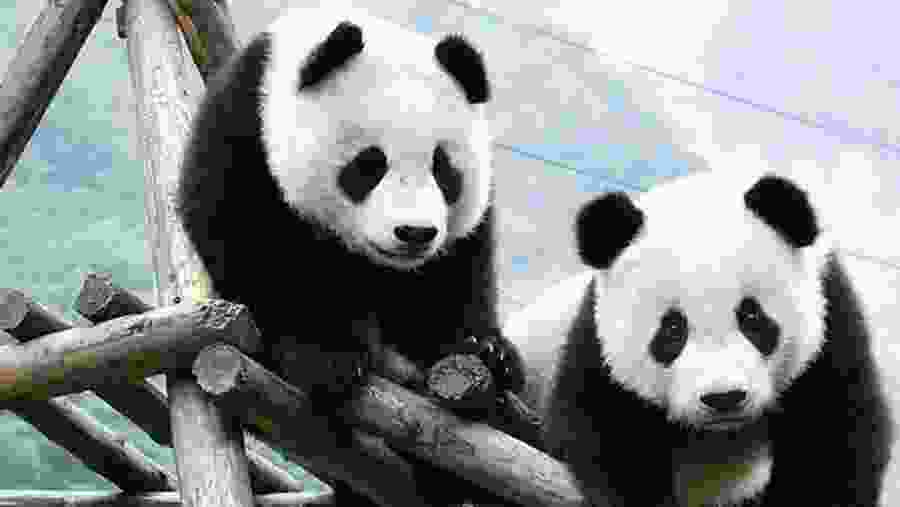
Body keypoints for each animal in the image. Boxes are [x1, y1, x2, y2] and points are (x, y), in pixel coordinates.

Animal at [175, 4, 525, 506]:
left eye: (444, 169)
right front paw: (327, 354)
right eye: (369, 165)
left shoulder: (453, 242)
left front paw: (485, 350)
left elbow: (448, 283)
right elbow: (253, 247)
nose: (414, 233)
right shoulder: (246, 133)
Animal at [503, 170, 894, 507]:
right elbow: (603, 433)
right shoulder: (597, 345)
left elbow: (837, 437)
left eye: (752, 317)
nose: (724, 398)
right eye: (672, 329)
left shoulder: (831, 323)